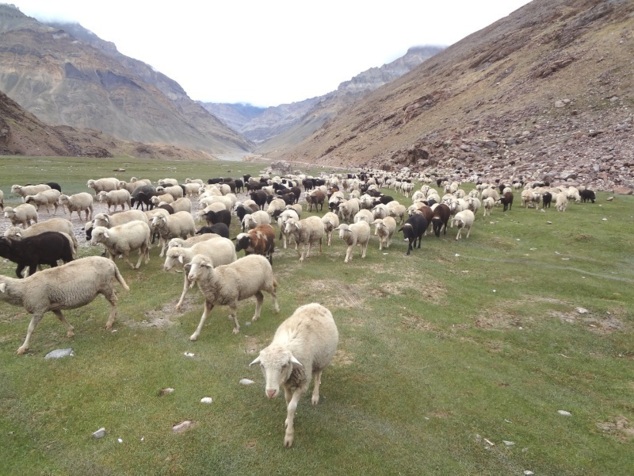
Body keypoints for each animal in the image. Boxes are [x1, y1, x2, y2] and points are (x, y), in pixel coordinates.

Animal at [0, 256, 130, 354]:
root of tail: (110, 262)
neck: (23, 290)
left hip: (106, 286)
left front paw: (23, 348)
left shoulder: (39, 309)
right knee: (113, 301)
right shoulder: (53, 306)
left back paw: (110, 322)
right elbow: (61, 317)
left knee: (114, 301)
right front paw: (70, 331)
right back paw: (114, 317)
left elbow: (30, 329)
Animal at [247, 304, 338, 448]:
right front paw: (289, 420)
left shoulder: (303, 384)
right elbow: (287, 401)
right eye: (262, 365)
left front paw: (289, 436)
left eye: (284, 365)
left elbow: (291, 407)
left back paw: (315, 396)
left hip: (321, 360)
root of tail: (316, 304)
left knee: (317, 377)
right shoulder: (286, 384)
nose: (271, 392)